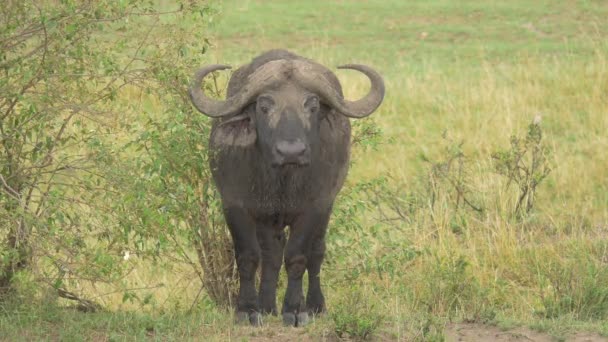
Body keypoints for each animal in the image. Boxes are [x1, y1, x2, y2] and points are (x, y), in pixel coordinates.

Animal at [189, 49, 384, 328]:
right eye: (264, 106)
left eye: (312, 106)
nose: (291, 151)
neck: (281, 179)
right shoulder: (235, 205)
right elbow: (248, 257)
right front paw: (248, 310)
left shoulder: (313, 208)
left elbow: (297, 257)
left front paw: (294, 310)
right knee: (271, 254)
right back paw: (267, 306)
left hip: (326, 207)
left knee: (316, 253)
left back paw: (314, 305)